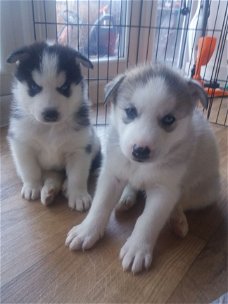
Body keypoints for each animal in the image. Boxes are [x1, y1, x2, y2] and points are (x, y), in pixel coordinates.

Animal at [7, 41, 100, 210]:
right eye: (34, 87)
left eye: (64, 87)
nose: (50, 113)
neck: (50, 128)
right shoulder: (22, 144)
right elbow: (30, 170)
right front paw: (32, 186)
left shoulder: (80, 148)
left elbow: (77, 175)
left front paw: (78, 195)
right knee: (51, 175)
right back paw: (49, 192)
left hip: (94, 142)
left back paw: (64, 188)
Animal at [65, 64, 219, 274]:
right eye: (130, 111)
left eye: (169, 119)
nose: (140, 151)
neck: (140, 167)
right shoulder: (112, 175)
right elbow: (100, 205)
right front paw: (87, 230)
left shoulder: (164, 190)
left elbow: (148, 220)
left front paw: (137, 248)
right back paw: (126, 199)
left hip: (205, 192)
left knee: (180, 202)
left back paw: (178, 219)